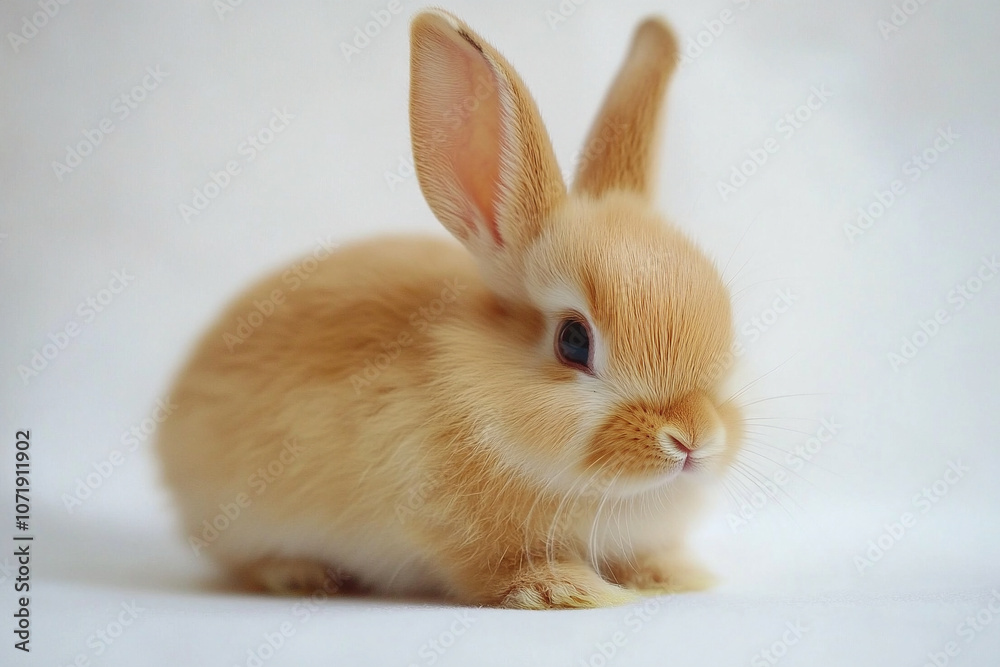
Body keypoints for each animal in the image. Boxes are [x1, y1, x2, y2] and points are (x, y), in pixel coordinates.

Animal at [156, 8, 744, 609]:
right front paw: (567, 588)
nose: (693, 439)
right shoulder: (444, 525)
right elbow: (495, 569)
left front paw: (675, 576)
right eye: (573, 340)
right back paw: (300, 574)